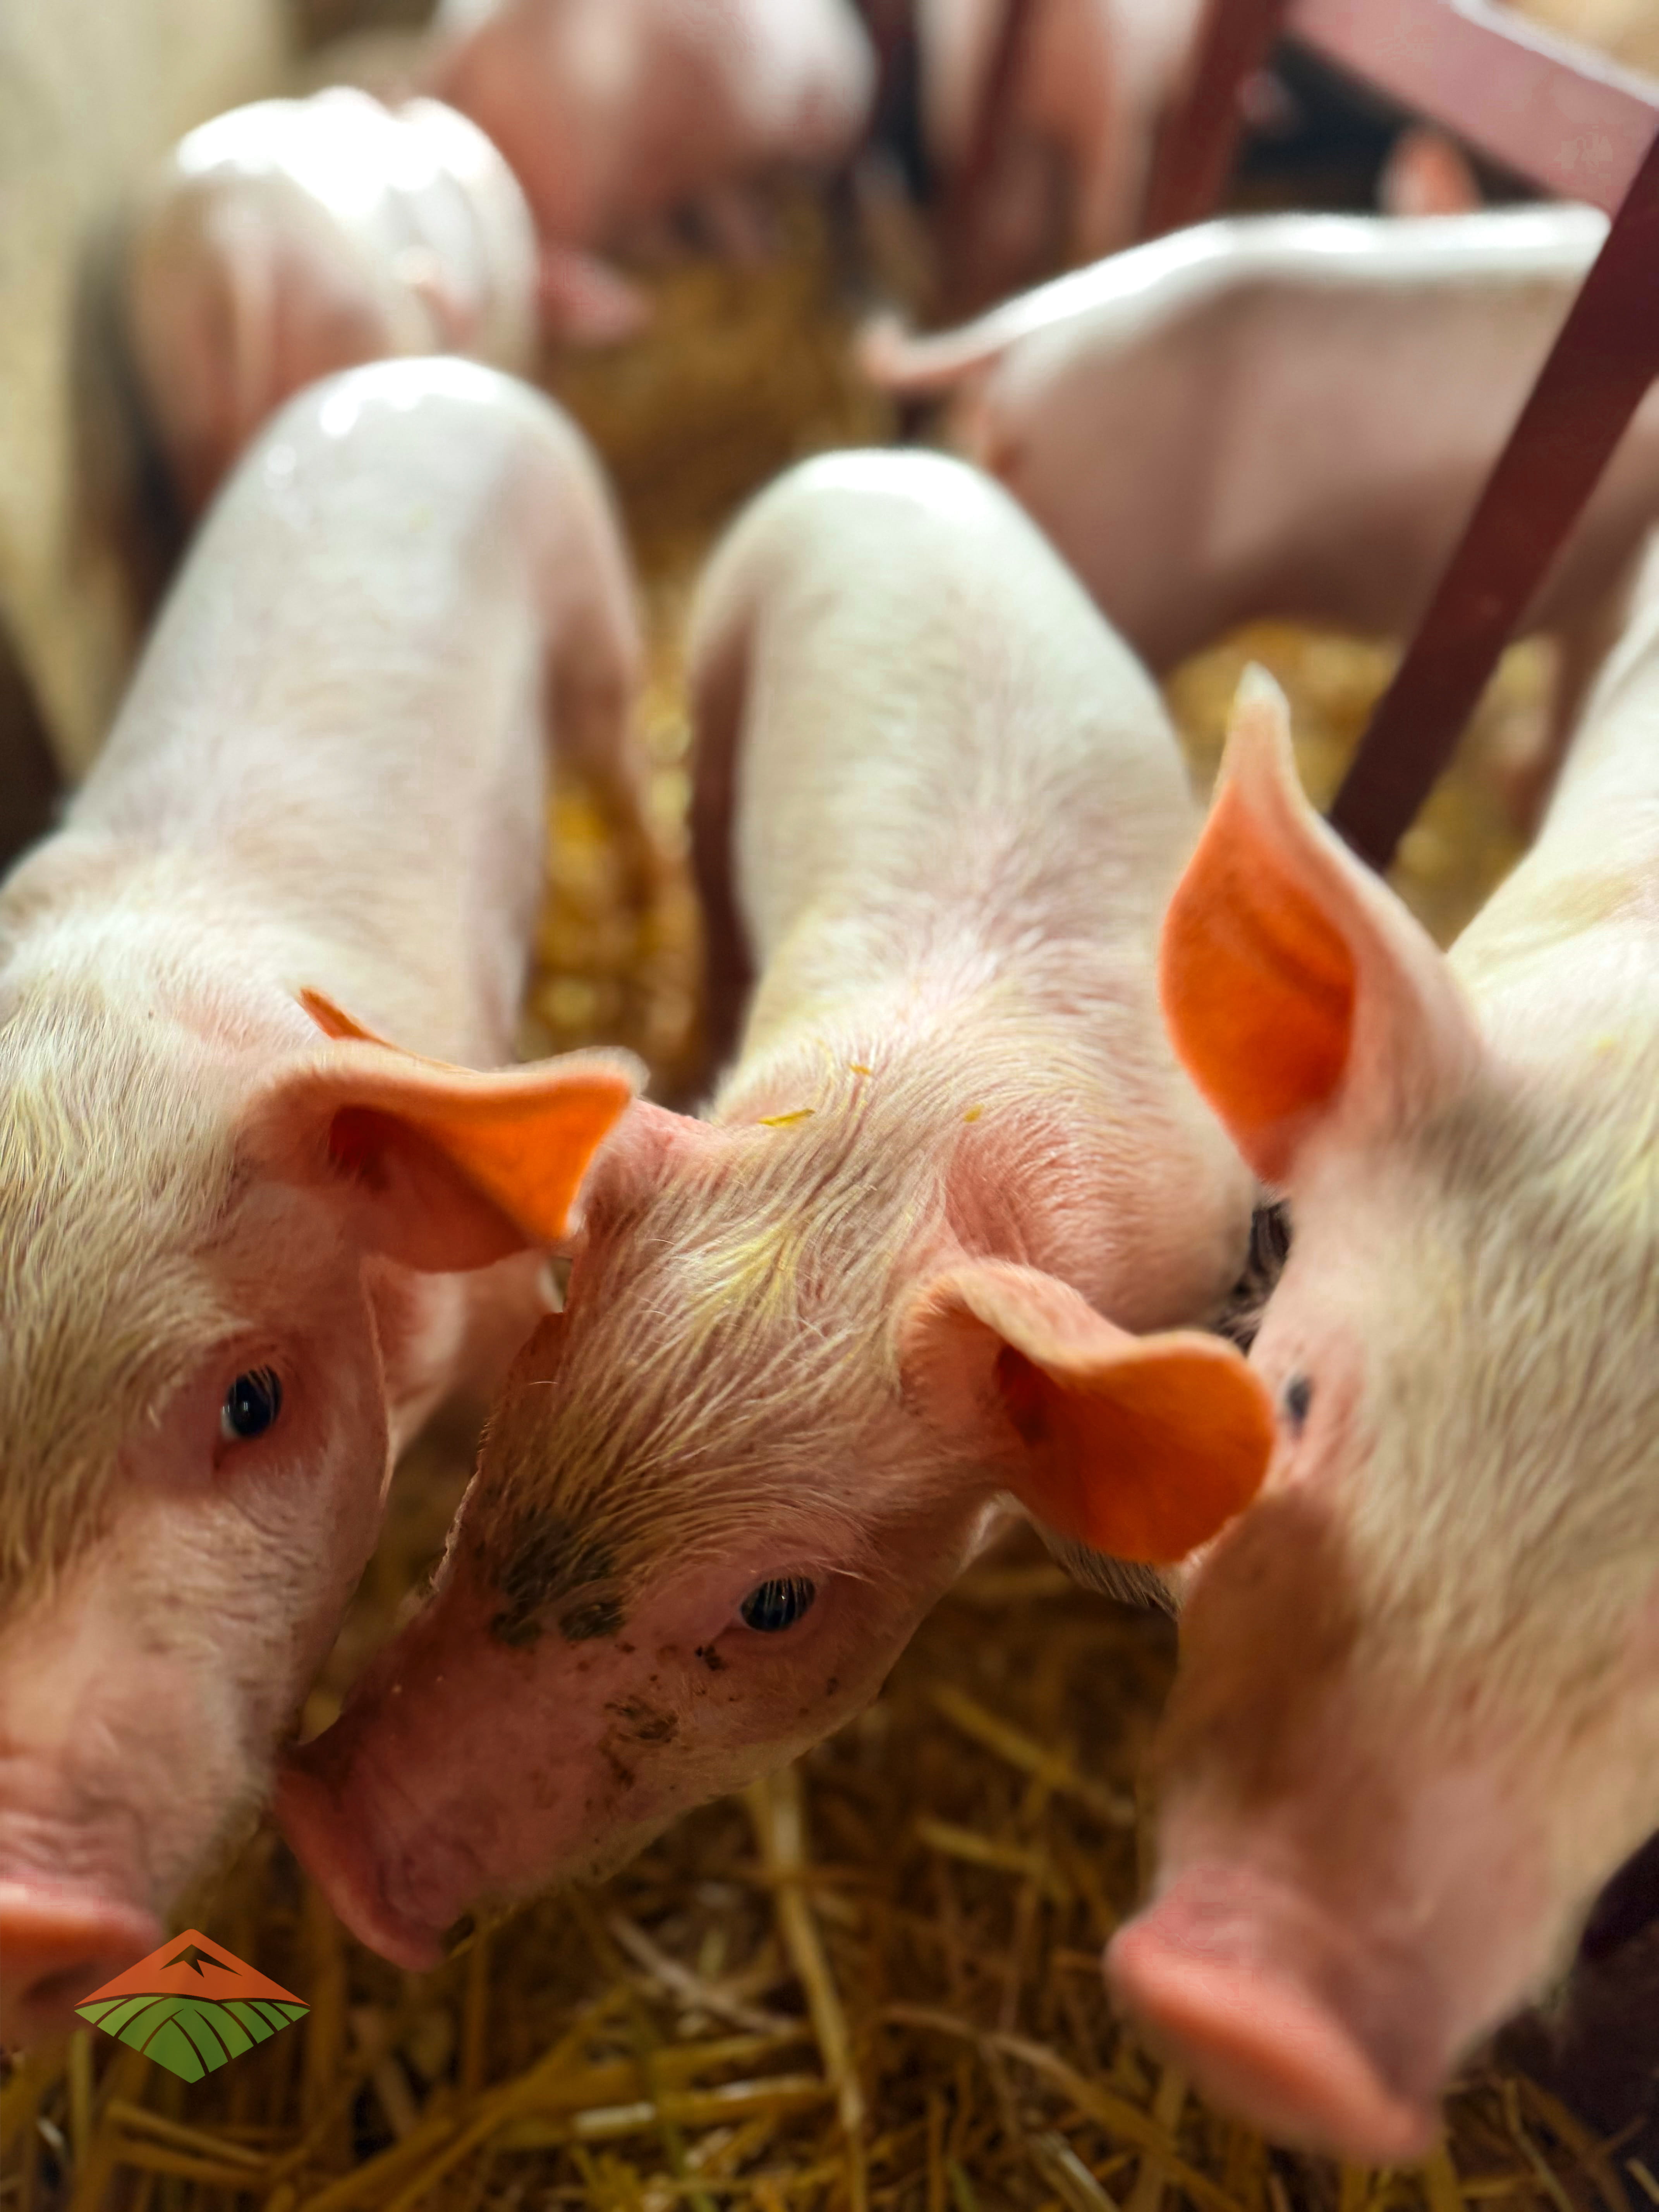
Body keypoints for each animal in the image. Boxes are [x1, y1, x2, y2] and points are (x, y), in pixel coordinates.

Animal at [278, 448, 1276, 1969]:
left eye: (775, 1603)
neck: (898, 1143)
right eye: (510, 1418)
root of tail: (886, 457)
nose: (324, 1837)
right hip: (721, 669)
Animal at [422, 0, 877, 337]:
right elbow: (734, 223)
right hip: (570, 175)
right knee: (546, 261)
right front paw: (764, 256)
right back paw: (626, 311)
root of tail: (452, 64)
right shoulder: (726, 158)